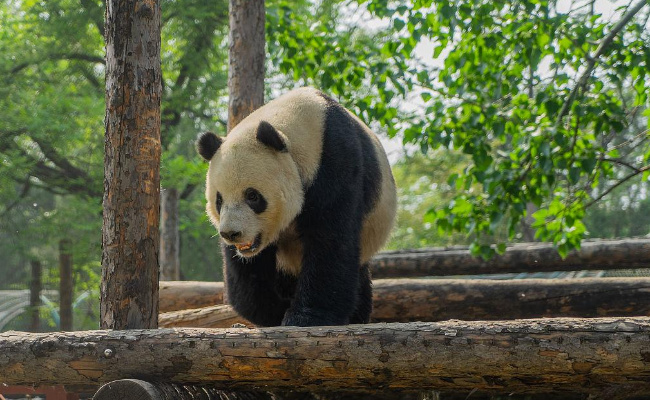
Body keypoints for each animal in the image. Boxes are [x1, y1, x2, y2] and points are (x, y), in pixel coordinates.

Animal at [195, 87, 394, 328]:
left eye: (252, 196)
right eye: (219, 200)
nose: (231, 234)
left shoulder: (336, 162)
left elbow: (330, 238)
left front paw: (306, 317)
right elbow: (248, 269)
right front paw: (273, 311)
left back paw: (356, 316)